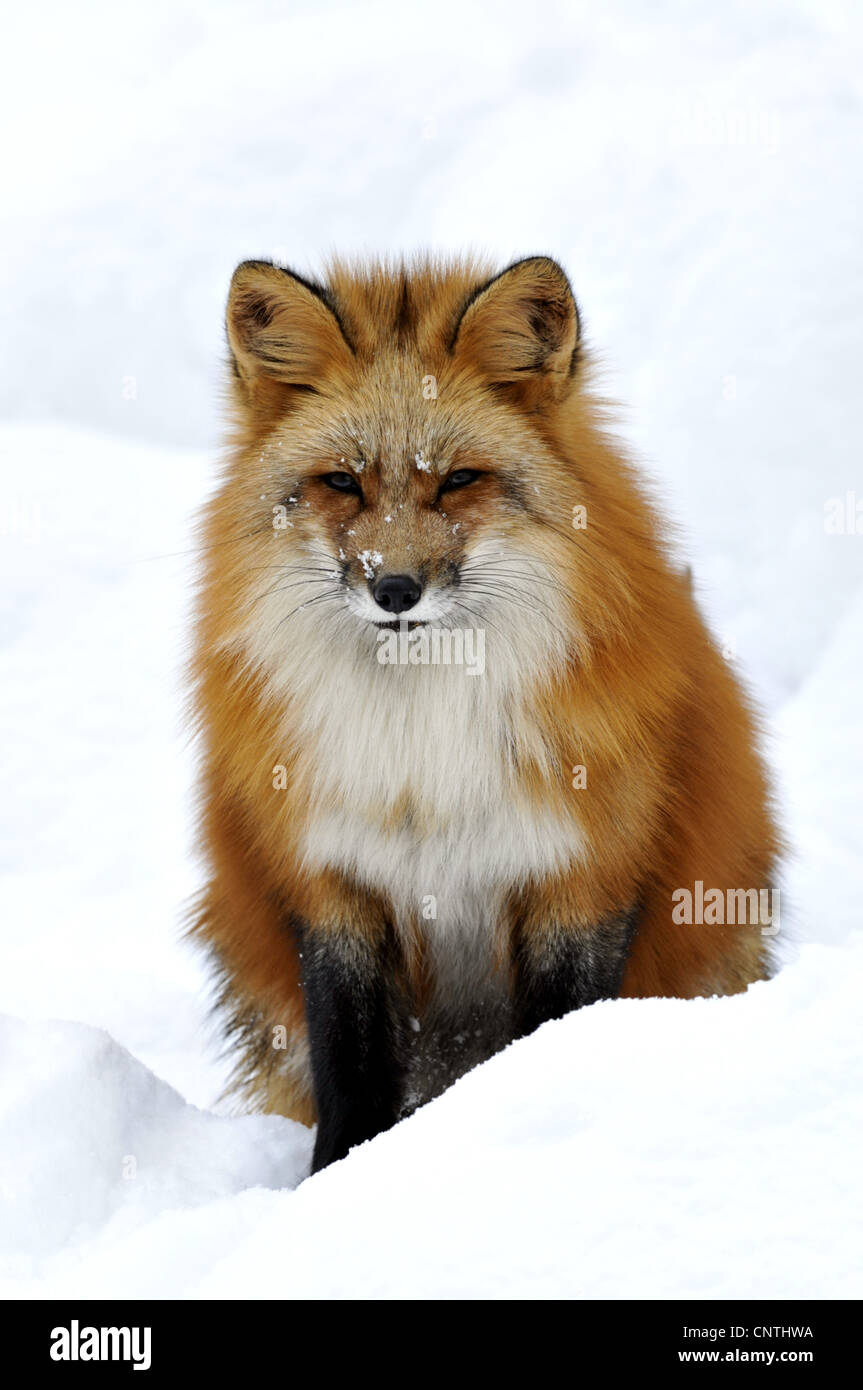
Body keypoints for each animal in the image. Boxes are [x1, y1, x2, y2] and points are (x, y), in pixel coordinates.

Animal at [190, 252, 778, 1173]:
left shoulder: (580, 880)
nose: (395, 590)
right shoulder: (334, 892)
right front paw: (332, 1185)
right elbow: (350, 1072)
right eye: (342, 483)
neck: (422, 755)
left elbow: (555, 1035)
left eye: (459, 479)